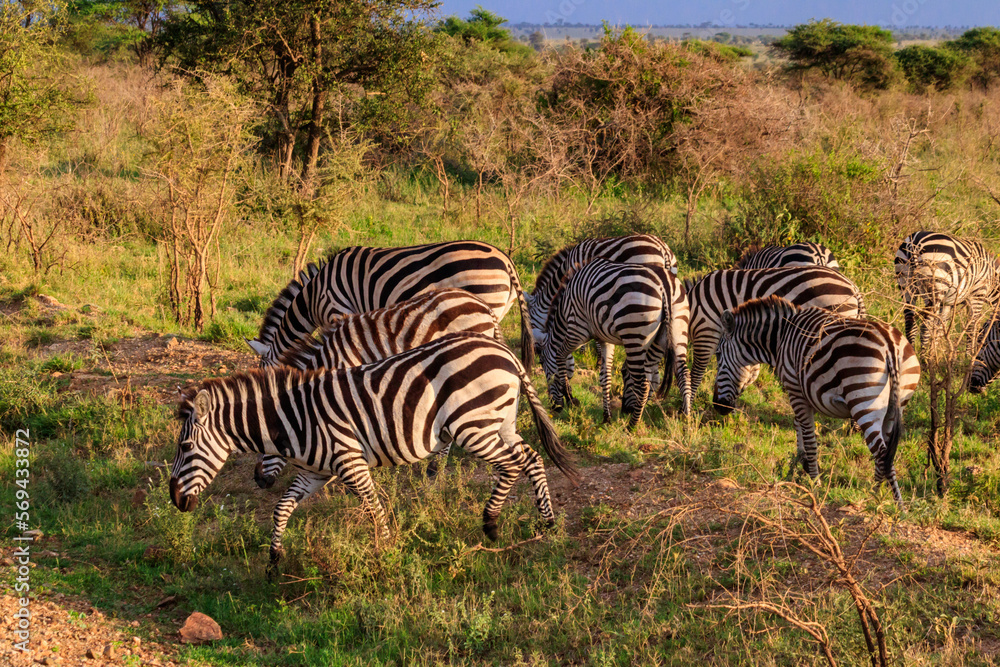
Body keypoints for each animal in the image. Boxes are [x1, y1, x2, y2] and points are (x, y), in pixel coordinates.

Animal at [169, 333, 580, 575]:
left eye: (185, 447)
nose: (175, 501)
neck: (298, 415)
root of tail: (503, 350)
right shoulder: (316, 472)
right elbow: (282, 507)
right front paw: (273, 561)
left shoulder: (349, 463)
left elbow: (374, 509)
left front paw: (386, 554)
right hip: (501, 421)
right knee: (531, 458)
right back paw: (546, 522)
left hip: (474, 425)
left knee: (512, 465)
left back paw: (492, 523)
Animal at [538, 258, 690, 428]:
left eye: (542, 364)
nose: (554, 408)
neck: (564, 312)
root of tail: (665, 285)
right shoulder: (605, 340)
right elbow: (605, 377)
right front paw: (606, 417)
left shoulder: (578, 330)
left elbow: (559, 356)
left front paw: (570, 397)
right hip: (677, 332)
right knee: (684, 375)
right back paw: (686, 419)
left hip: (634, 335)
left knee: (643, 385)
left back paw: (631, 427)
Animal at [686, 266, 867, 397]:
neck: (693, 306)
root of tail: (853, 287)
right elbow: (750, 372)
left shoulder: (707, 330)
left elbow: (696, 373)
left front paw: (687, 412)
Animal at [712, 296, 920, 504]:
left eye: (718, 355)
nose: (717, 406)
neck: (780, 338)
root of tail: (890, 346)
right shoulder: (804, 393)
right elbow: (799, 426)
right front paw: (800, 463)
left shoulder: (795, 389)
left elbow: (810, 438)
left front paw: (814, 482)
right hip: (896, 405)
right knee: (885, 455)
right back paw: (875, 497)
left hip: (863, 401)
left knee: (882, 453)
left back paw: (888, 502)